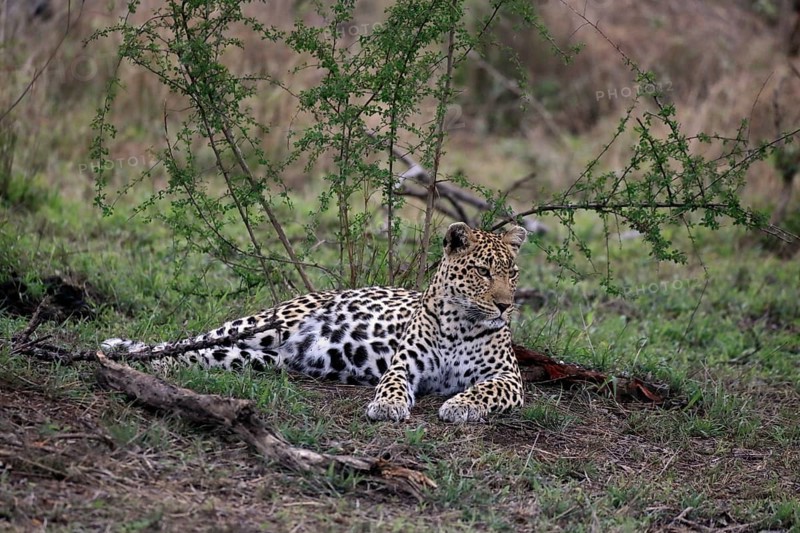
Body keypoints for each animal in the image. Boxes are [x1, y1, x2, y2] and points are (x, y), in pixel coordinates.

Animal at [102, 222, 527, 423]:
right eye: (483, 271)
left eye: (512, 272)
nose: (505, 306)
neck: (461, 324)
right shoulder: (404, 365)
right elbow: (391, 385)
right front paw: (387, 406)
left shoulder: (508, 378)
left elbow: (482, 391)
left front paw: (459, 406)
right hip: (266, 325)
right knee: (186, 341)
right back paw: (120, 351)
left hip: (259, 357)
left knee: (197, 354)